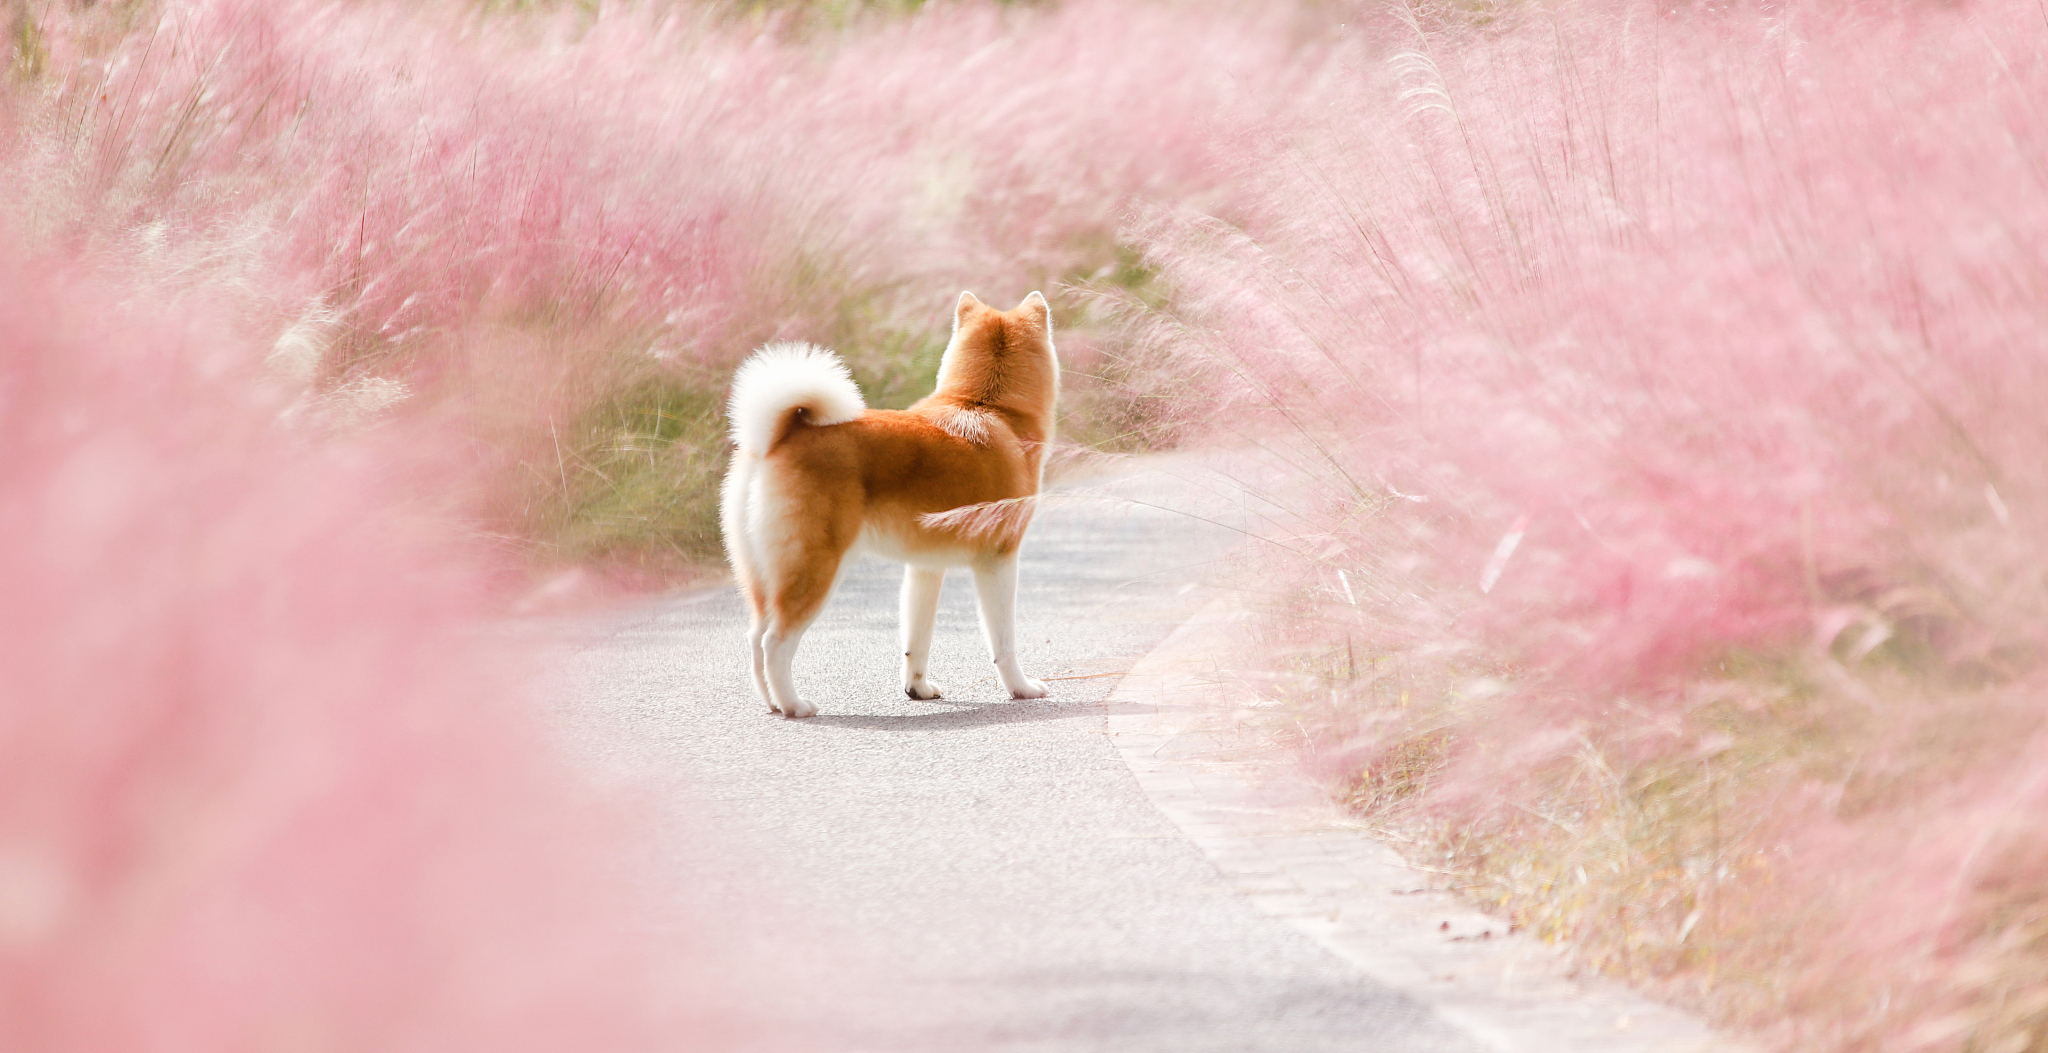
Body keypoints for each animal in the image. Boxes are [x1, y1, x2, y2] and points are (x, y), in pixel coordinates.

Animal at [720, 288, 1064, 712]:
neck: (988, 405)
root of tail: (783, 434)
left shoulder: (925, 568)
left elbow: (917, 641)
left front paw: (918, 689)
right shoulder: (998, 561)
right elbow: (1004, 642)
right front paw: (1021, 689)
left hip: (763, 576)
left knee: (755, 639)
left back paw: (772, 702)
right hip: (814, 570)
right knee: (775, 643)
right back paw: (794, 705)